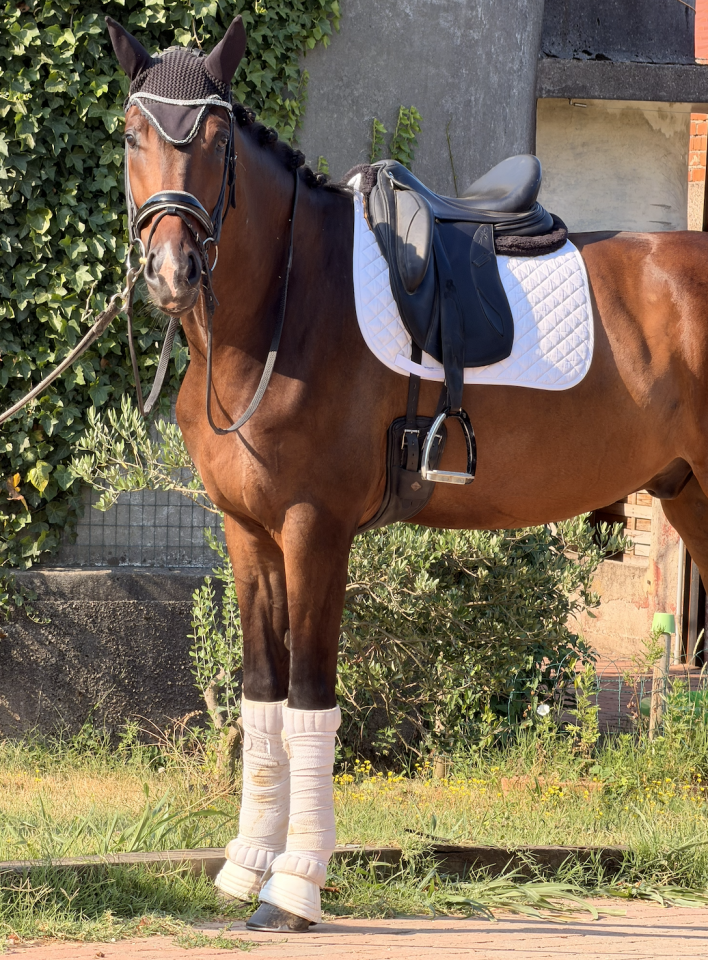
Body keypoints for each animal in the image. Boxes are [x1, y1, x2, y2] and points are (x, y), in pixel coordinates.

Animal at [108, 15, 708, 931]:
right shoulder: (249, 536)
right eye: (133, 134)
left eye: (215, 140)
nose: (173, 272)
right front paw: (246, 867)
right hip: (692, 500)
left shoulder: (314, 531)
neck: (288, 309)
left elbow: (310, 702)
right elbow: (262, 697)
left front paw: (295, 887)